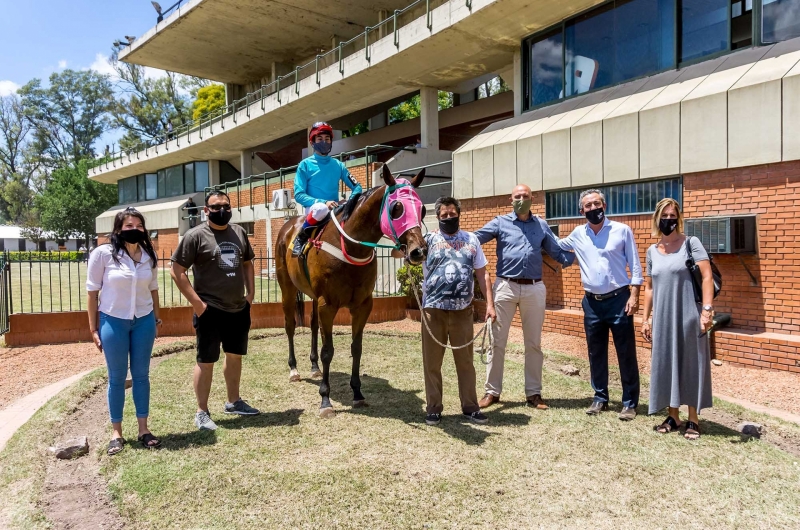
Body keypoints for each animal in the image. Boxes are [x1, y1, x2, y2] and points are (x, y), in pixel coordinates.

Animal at [274, 165, 424, 416]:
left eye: (422, 209)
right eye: (397, 208)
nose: (418, 251)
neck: (351, 247)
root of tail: (289, 224)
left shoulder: (362, 305)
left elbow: (357, 348)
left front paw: (357, 393)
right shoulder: (328, 305)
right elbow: (328, 351)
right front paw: (325, 399)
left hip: (313, 296)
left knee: (312, 325)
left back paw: (313, 366)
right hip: (287, 288)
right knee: (290, 325)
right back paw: (294, 369)